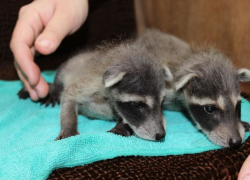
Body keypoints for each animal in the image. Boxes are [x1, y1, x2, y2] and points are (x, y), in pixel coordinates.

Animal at [18, 40, 174, 141]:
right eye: (137, 105)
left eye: (161, 103)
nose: (161, 135)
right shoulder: (89, 83)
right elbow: (69, 96)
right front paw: (69, 127)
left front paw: (123, 125)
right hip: (68, 66)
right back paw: (55, 88)